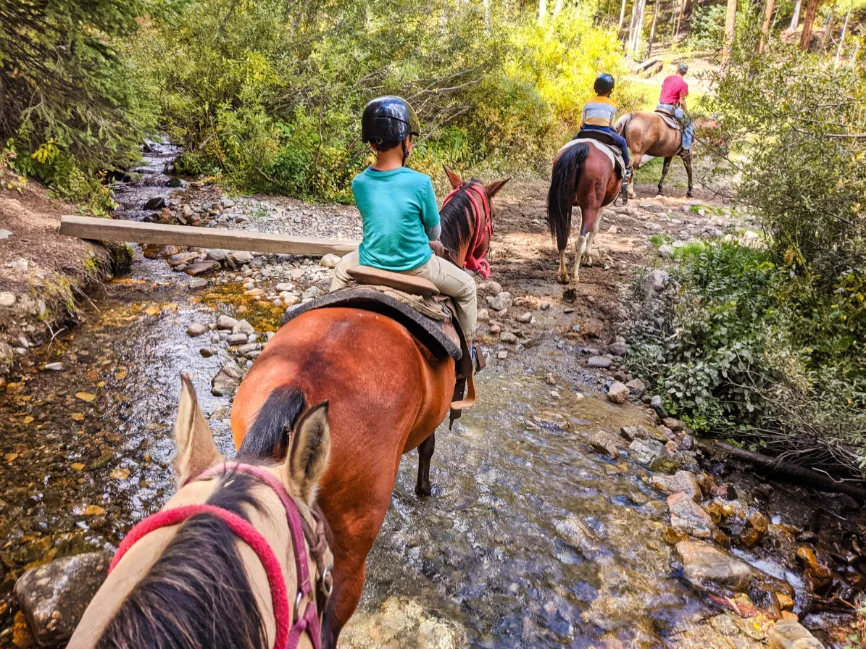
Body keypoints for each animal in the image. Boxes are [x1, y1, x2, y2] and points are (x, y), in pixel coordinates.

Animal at [230, 168, 506, 648]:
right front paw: (424, 489)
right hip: (348, 547)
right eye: (488, 219)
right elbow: (428, 450)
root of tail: (298, 386)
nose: (484, 259)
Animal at [548, 139, 620, 284]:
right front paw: (587, 258)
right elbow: (594, 229)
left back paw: (563, 274)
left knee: (562, 236)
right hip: (590, 206)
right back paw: (575, 275)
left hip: (565, 203)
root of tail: (582, 148)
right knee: (580, 238)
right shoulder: (600, 206)